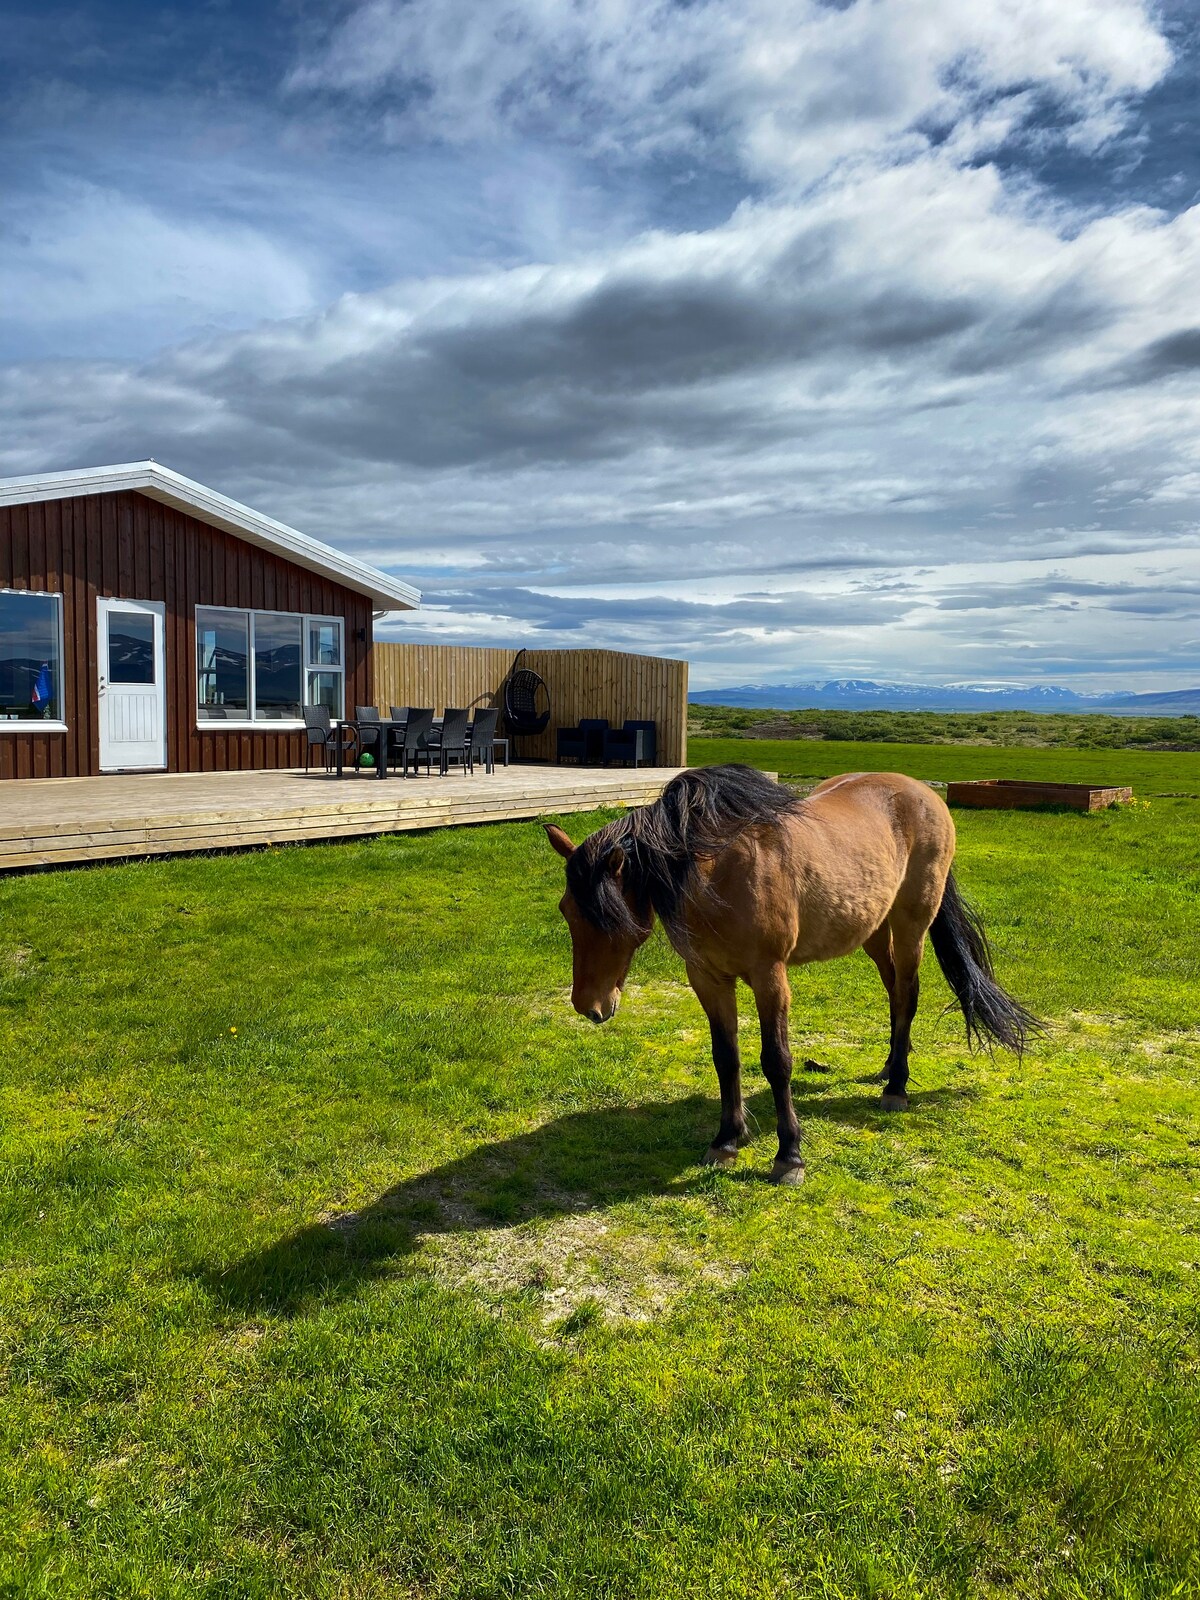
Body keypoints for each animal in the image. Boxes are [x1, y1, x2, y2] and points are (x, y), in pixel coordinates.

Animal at [550, 761, 1036, 1190]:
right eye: (567, 911)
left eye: (611, 918)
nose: (589, 1006)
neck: (717, 870)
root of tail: (923, 793)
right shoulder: (708, 978)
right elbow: (725, 1057)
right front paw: (727, 1140)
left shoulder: (770, 978)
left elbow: (776, 1062)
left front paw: (789, 1157)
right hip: (874, 931)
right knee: (894, 994)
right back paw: (889, 1066)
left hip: (911, 925)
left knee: (908, 994)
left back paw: (897, 1086)